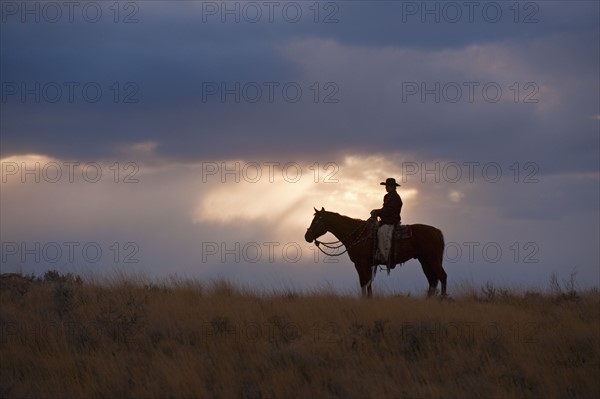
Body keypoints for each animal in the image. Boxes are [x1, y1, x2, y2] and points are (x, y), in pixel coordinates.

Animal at [304, 209, 446, 296]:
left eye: (317, 220)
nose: (307, 236)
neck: (357, 234)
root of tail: (438, 231)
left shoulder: (362, 263)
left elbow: (364, 282)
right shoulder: (365, 265)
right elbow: (367, 284)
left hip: (432, 260)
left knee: (442, 276)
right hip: (424, 261)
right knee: (432, 281)